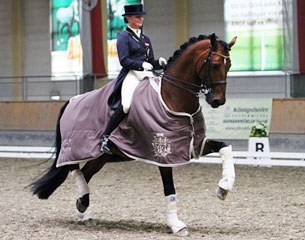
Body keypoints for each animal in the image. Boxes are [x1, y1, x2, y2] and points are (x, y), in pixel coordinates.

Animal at [29, 33, 236, 236]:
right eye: (215, 64)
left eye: (229, 65)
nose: (218, 101)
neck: (172, 97)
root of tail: (71, 101)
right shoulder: (163, 153)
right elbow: (169, 188)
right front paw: (177, 225)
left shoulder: (195, 144)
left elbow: (225, 147)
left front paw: (224, 187)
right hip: (75, 148)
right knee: (75, 170)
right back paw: (83, 203)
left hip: (101, 157)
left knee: (85, 173)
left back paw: (84, 210)